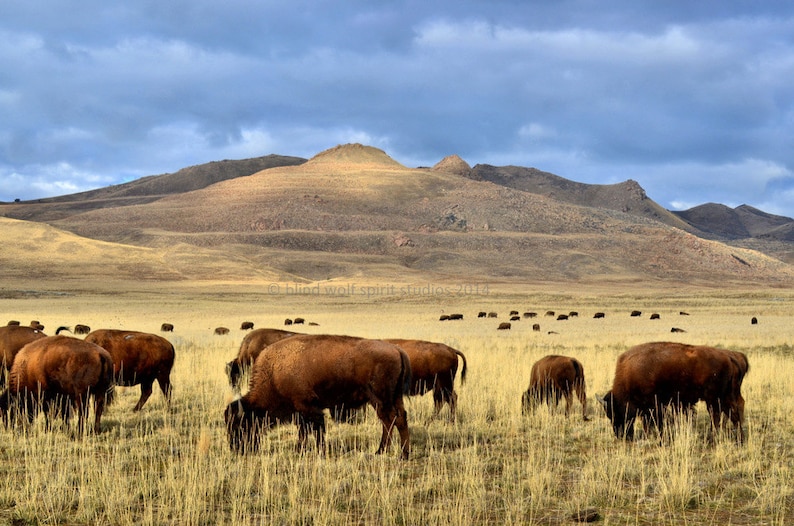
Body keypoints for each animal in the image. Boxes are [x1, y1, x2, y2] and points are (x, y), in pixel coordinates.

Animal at [223, 336, 408, 460]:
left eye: (241, 425)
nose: (236, 449)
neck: (274, 373)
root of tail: (397, 350)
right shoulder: (301, 412)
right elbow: (304, 431)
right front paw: (300, 450)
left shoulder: (309, 408)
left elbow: (316, 431)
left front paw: (320, 452)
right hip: (395, 397)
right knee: (400, 419)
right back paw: (400, 453)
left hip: (380, 399)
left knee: (389, 420)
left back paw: (384, 451)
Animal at [596, 342, 744, 446]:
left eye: (615, 413)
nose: (621, 436)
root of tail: (728, 357)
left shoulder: (654, 405)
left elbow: (654, 422)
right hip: (725, 396)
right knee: (732, 412)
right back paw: (738, 438)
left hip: (714, 398)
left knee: (718, 415)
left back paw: (716, 438)